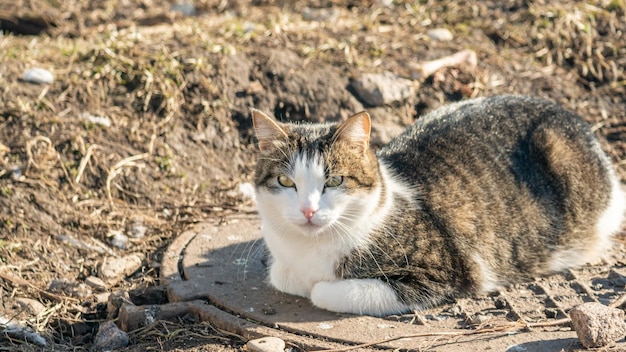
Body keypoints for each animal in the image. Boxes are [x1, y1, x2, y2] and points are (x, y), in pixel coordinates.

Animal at [250, 95, 624, 316]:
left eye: (335, 181)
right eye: (286, 182)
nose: (309, 211)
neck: (310, 249)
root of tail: (565, 112)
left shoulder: (444, 272)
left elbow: (323, 291)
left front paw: (318, 285)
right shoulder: (284, 263)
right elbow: (282, 275)